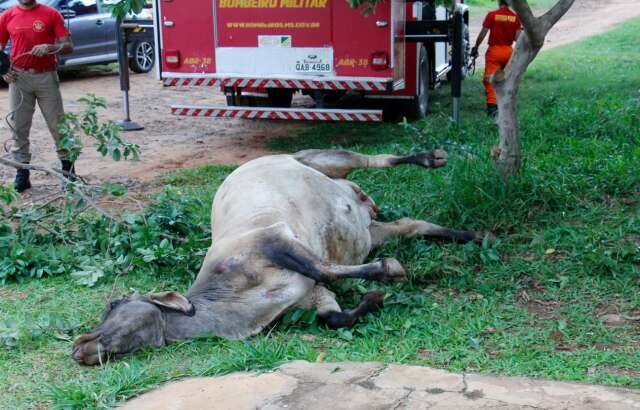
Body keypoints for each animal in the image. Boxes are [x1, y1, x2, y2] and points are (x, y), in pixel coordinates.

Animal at [71, 150, 490, 366]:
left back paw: (431, 158)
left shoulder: (273, 239)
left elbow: (323, 267)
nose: (80, 346)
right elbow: (333, 316)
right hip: (372, 233)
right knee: (410, 224)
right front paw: (373, 298)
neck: (237, 301)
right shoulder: (310, 295)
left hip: (321, 159)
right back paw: (471, 235)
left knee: (373, 159)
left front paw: (392, 271)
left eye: (113, 304)